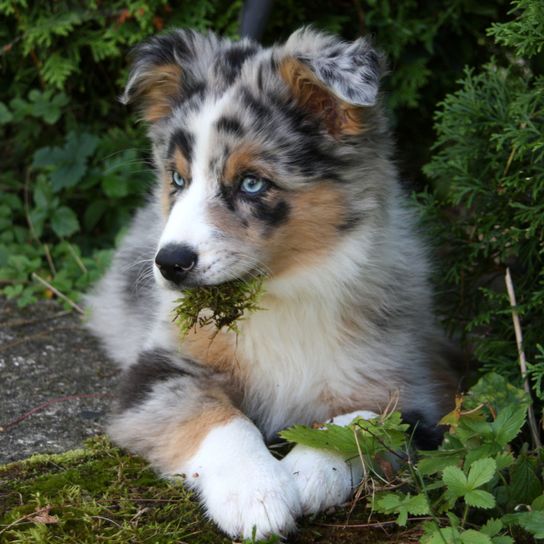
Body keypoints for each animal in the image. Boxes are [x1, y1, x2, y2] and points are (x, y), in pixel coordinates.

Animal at [86, 27, 460, 536]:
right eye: (178, 179)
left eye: (251, 183)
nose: (170, 263)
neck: (281, 293)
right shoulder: (159, 369)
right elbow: (222, 421)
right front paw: (255, 494)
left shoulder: (418, 387)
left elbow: (357, 421)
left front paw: (306, 476)